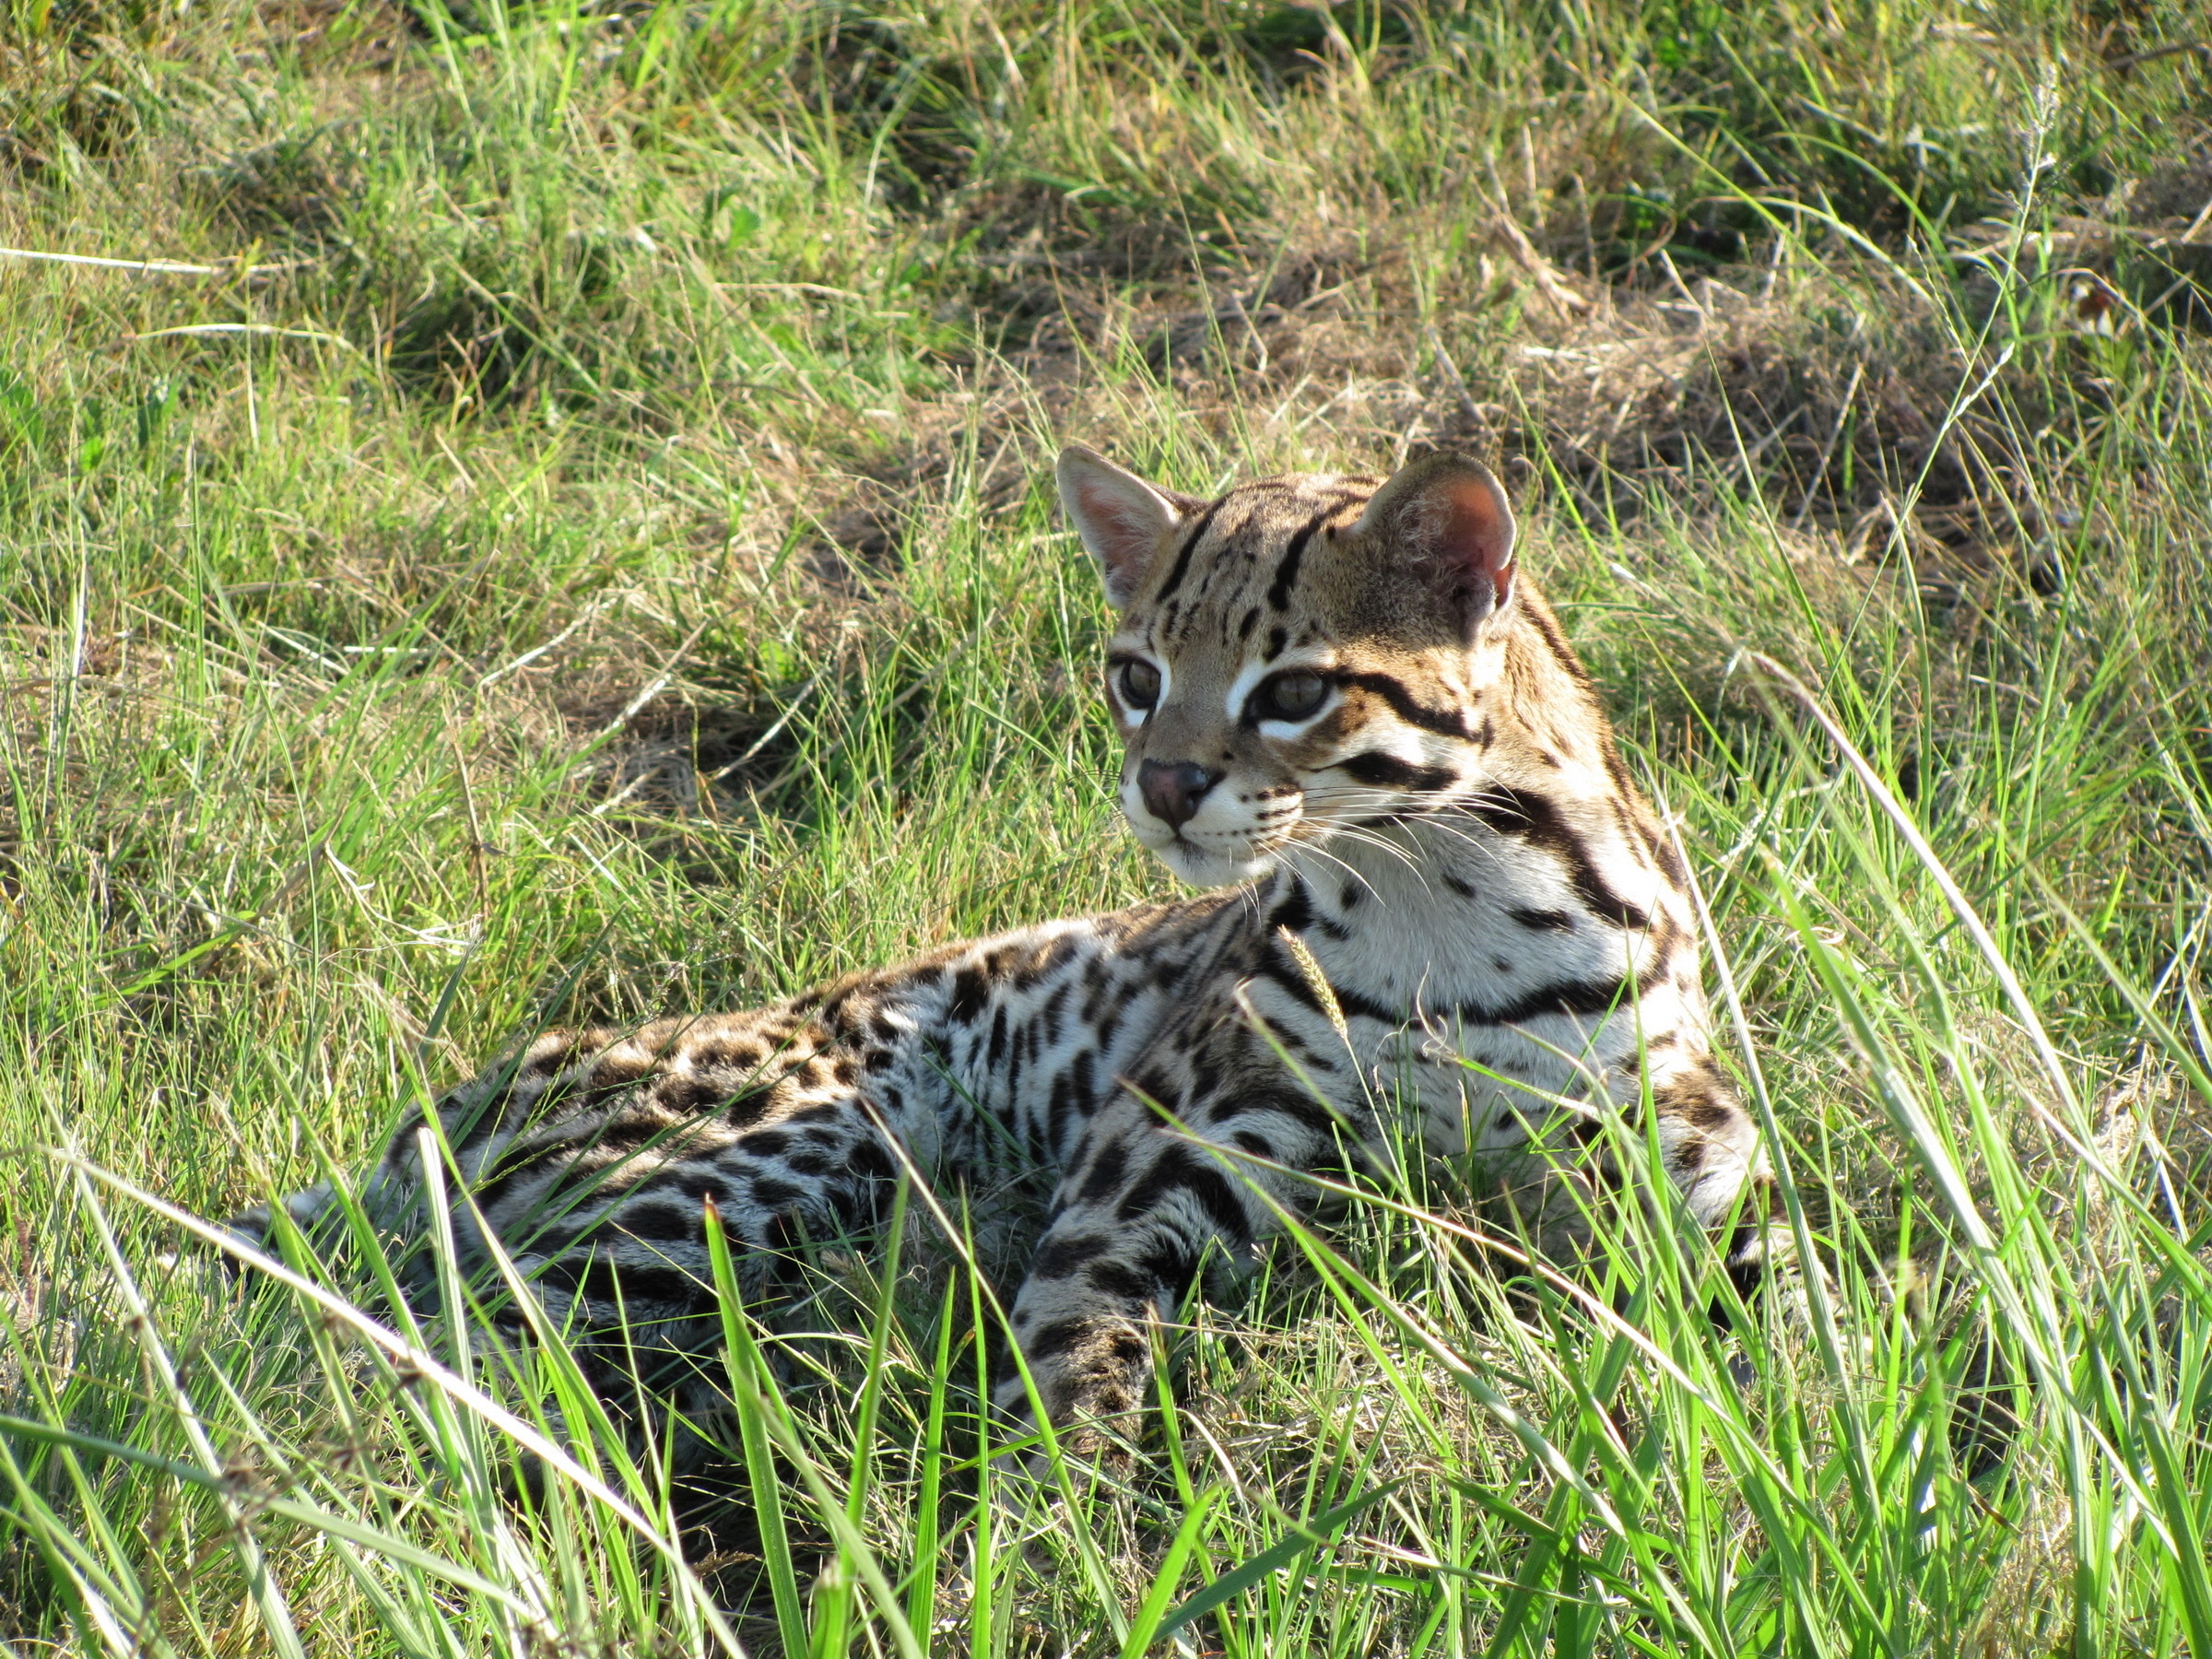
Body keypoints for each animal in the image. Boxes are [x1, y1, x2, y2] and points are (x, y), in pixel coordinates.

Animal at [229, 451, 1778, 1451]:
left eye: (1294, 692)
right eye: (1135, 674)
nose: (1163, 785)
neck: (1437, 893)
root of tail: (463, 1097)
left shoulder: (1684, 1125)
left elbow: (1790, 1292)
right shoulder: (1147, 1163)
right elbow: (1078, 1376)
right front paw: (1074, 1543)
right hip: (751, 1156)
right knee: (399, 1342)